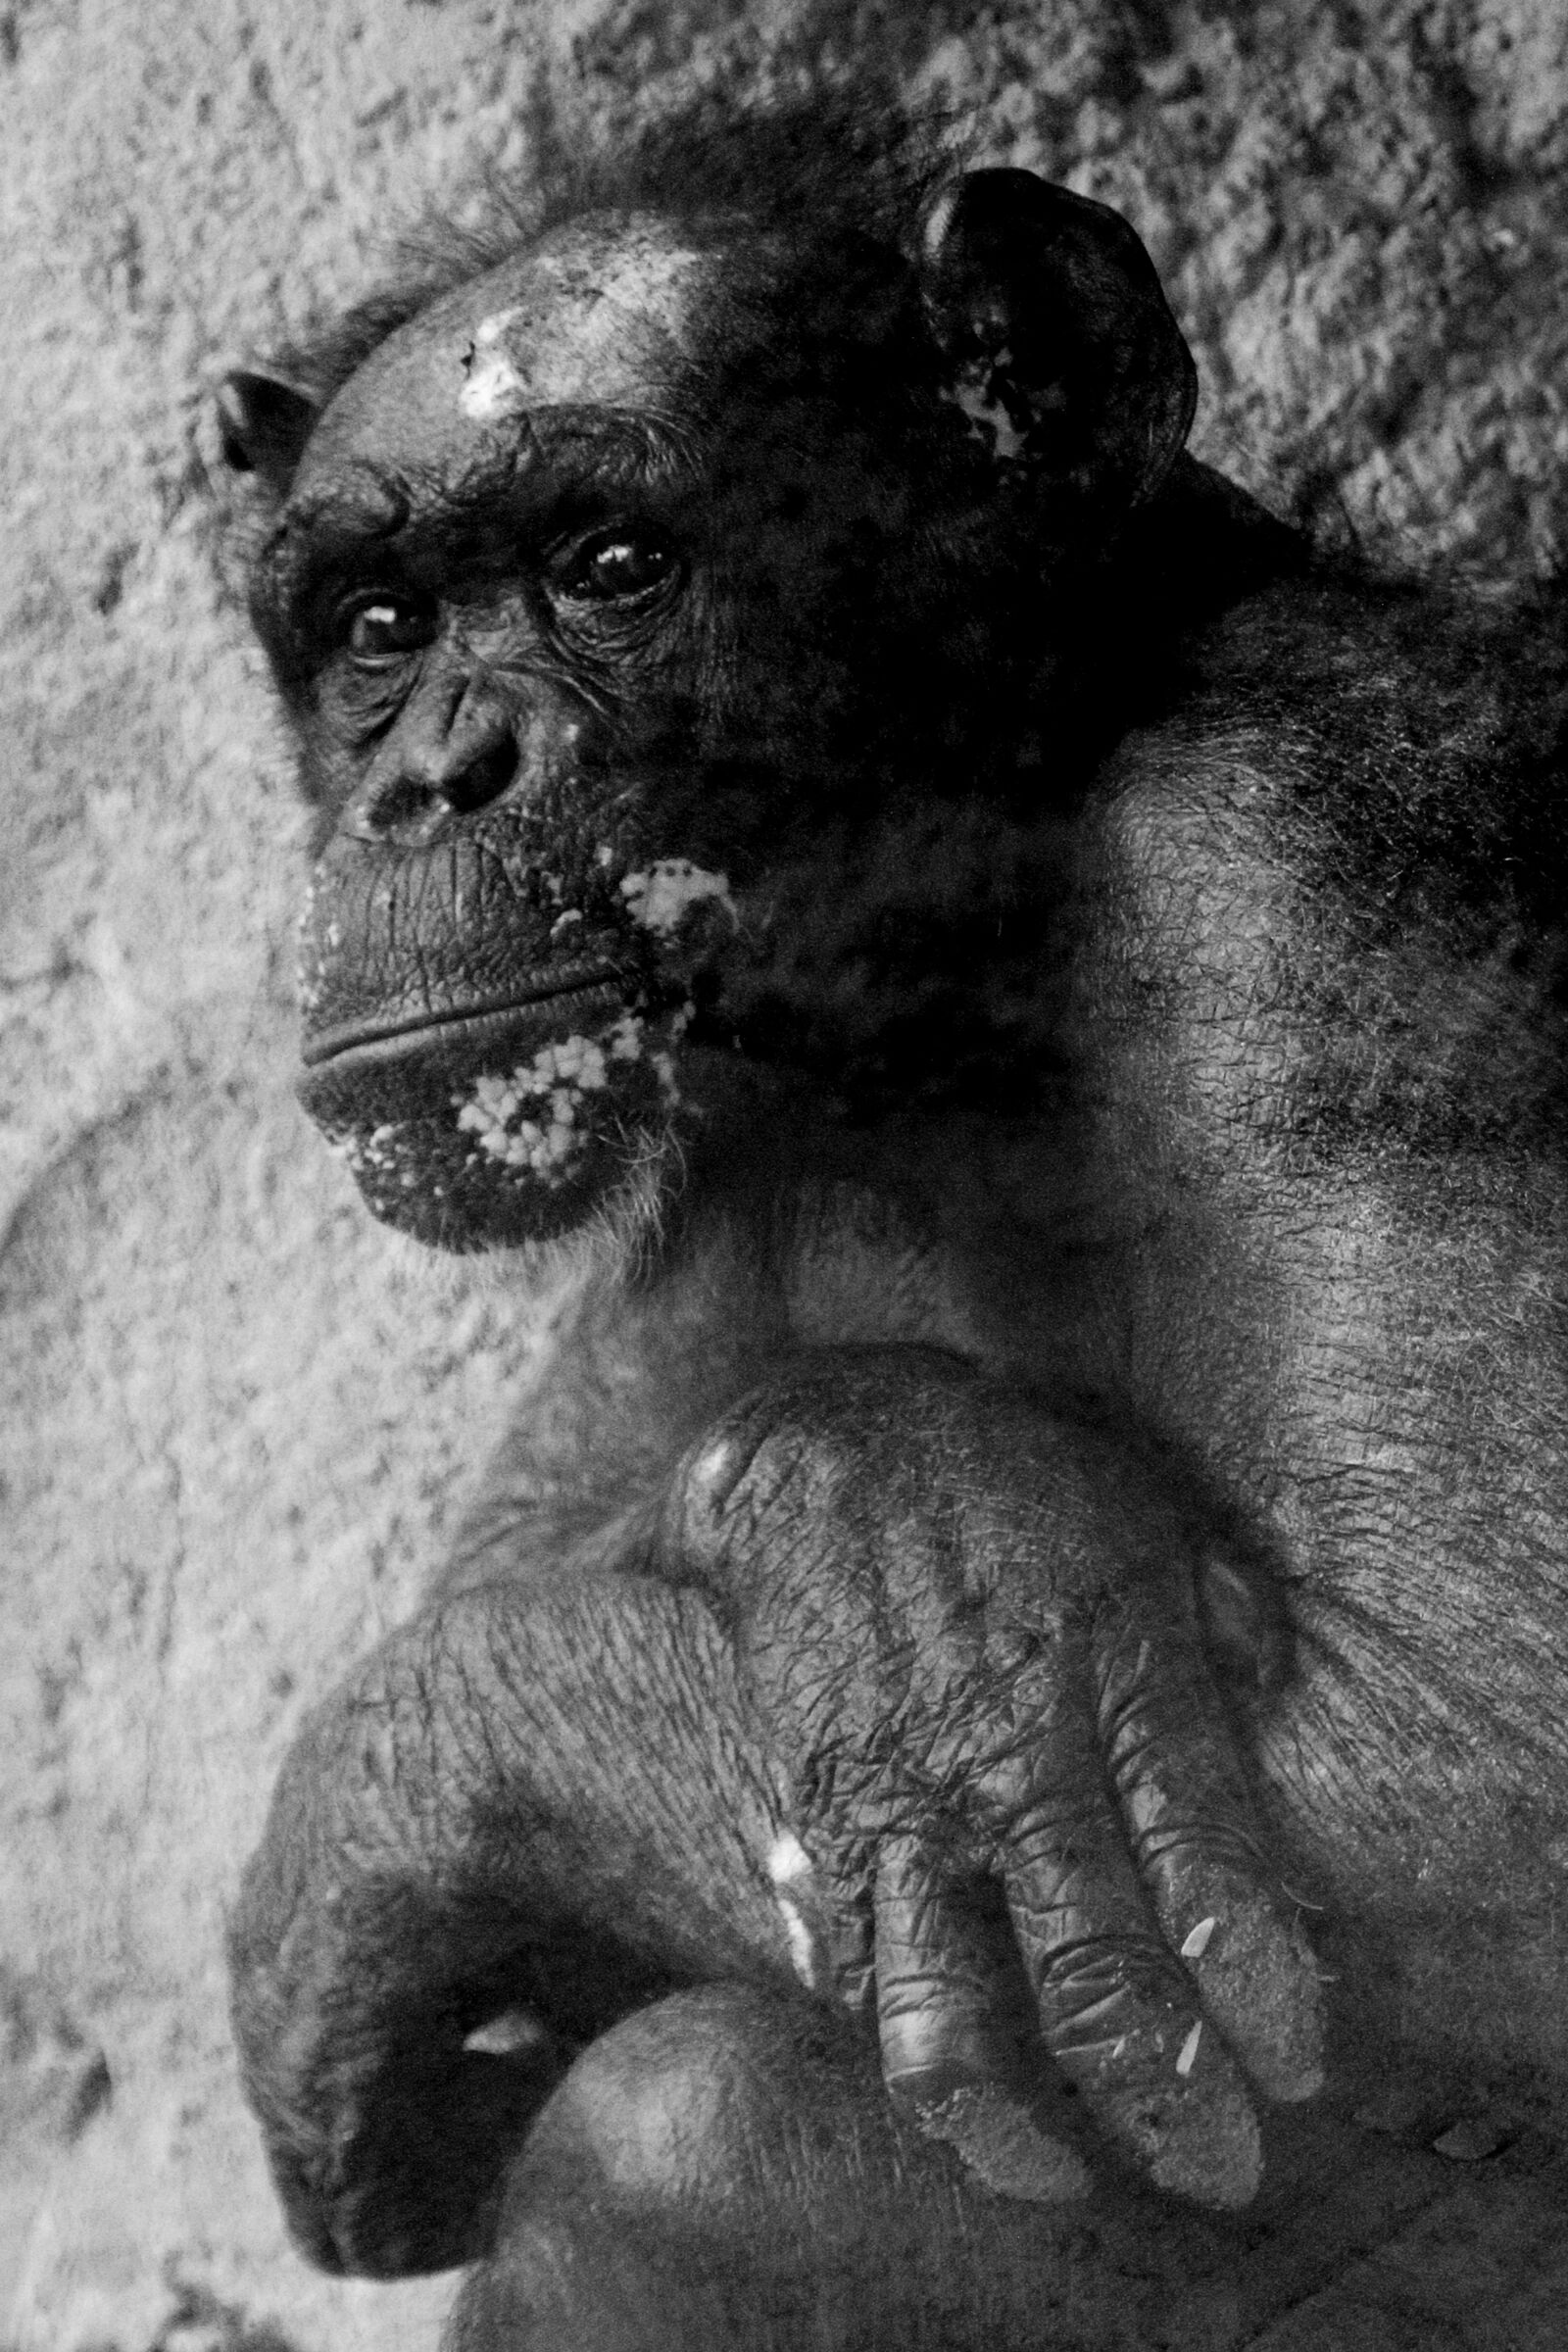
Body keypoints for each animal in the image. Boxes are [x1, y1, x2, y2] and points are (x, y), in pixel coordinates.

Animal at [217, 94, 1568, 2348]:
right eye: (376, 626)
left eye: (606, 568)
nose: (432, 782)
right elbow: (524, 1538)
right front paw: (895, 1543)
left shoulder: (1330, 872)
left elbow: (1474, 1763)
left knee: (690, 2140)